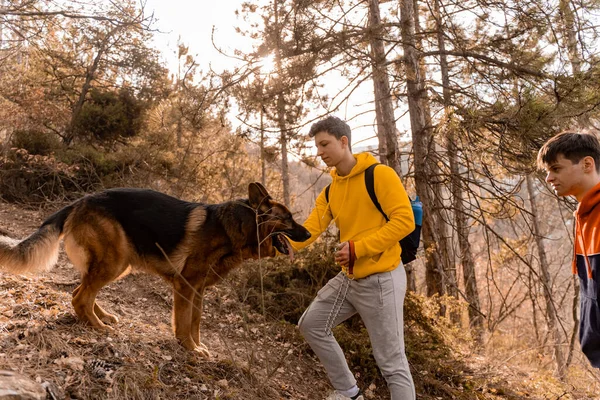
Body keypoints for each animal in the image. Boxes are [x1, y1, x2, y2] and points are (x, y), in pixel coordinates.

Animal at [0, 184, 310, 356]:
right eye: (288, 219)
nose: (308, 234)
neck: (235, 227)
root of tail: (79, 201)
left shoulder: (198, 290)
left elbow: (195, 322)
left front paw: (196, 346)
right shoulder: (186, 286)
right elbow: (184, 323)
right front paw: (189, 348)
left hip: (117, 264)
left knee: (81, 291)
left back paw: (100, 317)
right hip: (115, 262)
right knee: (79, 296)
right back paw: (97, 326)